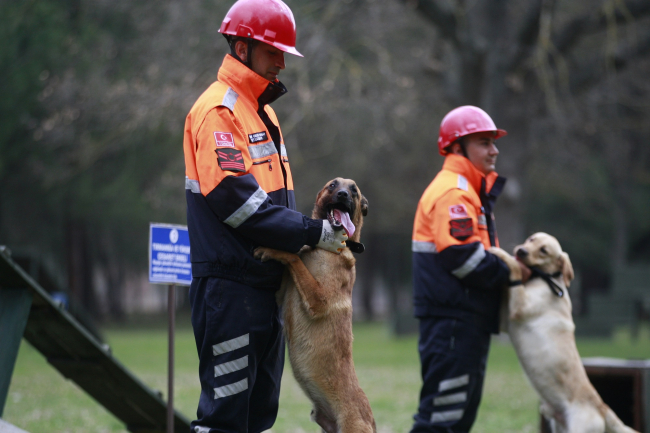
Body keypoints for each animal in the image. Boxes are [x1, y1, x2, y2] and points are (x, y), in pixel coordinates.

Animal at [253, 178, 374, 432]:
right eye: (333, 185)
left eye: (354, 191)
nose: (342, 194)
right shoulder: (284, 291)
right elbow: (294, 262)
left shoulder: (319, 299)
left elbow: (294, 258)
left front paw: (272, 249)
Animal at [488, 233, 636, 432]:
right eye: (531, 239)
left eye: (544, 250)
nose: (521, 251)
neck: (543, 280)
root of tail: (602, 408)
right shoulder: (505, 319)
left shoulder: (518, 309)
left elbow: (515, 270)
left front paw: (502, 255)